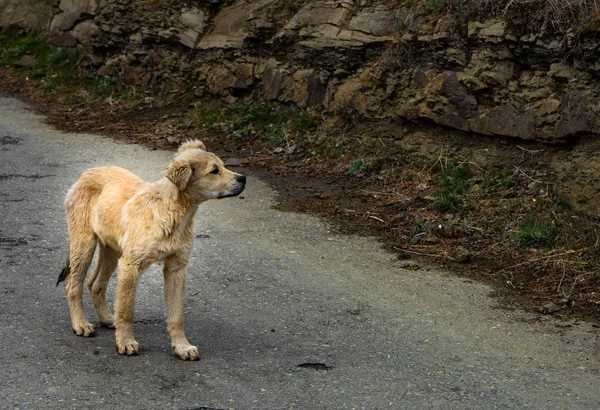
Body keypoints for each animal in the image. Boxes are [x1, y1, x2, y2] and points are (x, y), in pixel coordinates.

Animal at [56, 140, 244, 358]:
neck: (173, 214)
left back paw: (107, 318)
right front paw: (126, 342)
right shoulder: (131, 265)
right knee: (73, 286)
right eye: (214, 171)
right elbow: (127, 310)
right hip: (84, 243)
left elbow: (177, 315)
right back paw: (80, 324)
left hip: (112, 250)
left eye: (222, 165)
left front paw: (182, 347)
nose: (243, 179)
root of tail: (86, 173)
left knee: (94, 284)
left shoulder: (176, 268)